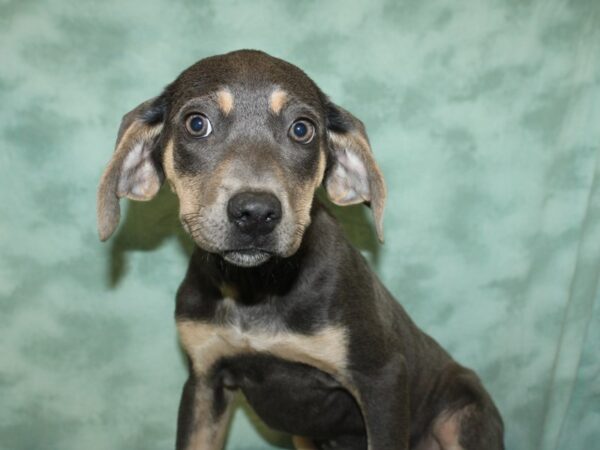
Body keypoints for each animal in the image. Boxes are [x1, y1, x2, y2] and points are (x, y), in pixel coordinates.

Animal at [96, 50, 504, 450]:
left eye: (302, 129)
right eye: (197, 124)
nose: (256, 214)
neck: (256, 288)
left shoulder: (382, 378)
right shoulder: (204, 381)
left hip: (463, 416)